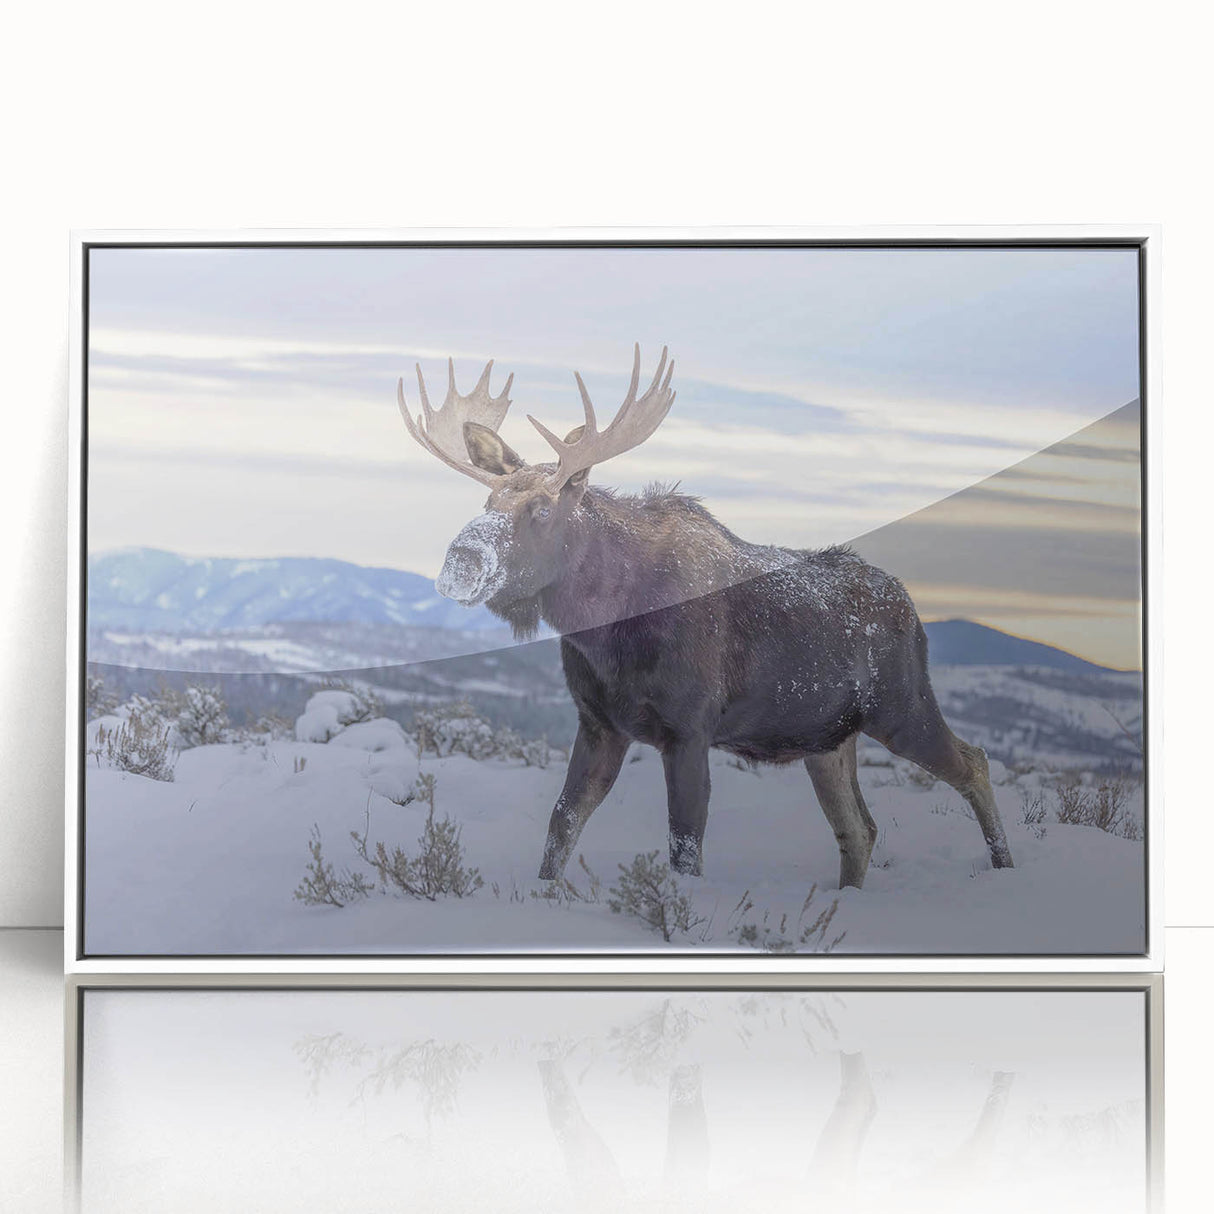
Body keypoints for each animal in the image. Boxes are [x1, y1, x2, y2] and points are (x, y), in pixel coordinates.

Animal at [397, 346, 1012, 889]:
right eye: (487, 503)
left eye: (543, 508)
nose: (461, 561)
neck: (605, 624)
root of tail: (912, 609)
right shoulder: (599, 723)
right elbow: (561, 826)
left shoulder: (689, 729)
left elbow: (685, 847)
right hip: (828, 740)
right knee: (860, 829)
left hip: (902, 707)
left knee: (975, 762)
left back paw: (1004, 869)